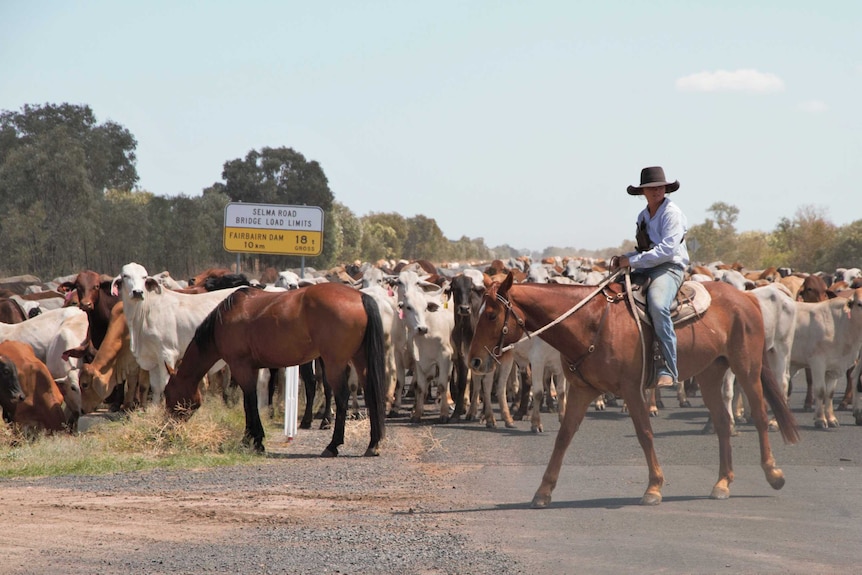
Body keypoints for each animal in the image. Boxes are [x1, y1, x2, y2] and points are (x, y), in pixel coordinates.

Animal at [113, 262, 243, 402]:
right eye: (125, 276)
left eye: (144, 277)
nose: (137, 292)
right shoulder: (153, 358)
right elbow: (156, 388)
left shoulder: (167, 354)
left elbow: (165, 384)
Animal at [164, 284, 386, 460]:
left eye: (167, 394)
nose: (167, 431)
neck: (225, 319)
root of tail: (360, 296)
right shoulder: (251, 369)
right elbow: (248, 403)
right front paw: (249, 439)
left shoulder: (241, 367)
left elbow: (250, 403)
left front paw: (255, 441)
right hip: (360, 359)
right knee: (371, 393)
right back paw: (373, 444)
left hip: (334, 363)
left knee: (341, 397)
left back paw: (332, 445)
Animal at [470, 274, 800, 508]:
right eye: (477, 312)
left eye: (491, 315)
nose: (474, 360)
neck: (591, 323)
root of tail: (747, 298)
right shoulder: (580, 390)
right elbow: (563, 438)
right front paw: (543, 491)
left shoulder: (630, 389)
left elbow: (644, 433)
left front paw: (654, 487)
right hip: (710, 373)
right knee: (722, 422)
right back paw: (722, 483)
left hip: (747, 368)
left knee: (760, 416)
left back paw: (773, 473)